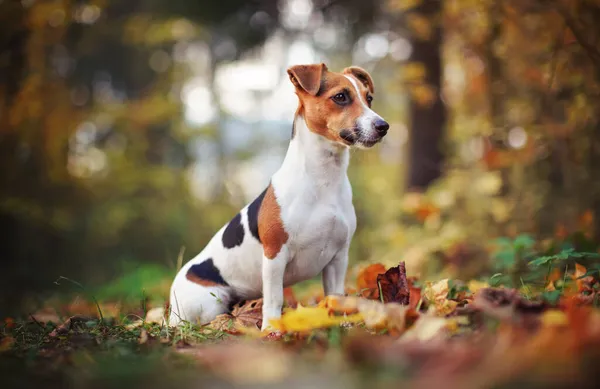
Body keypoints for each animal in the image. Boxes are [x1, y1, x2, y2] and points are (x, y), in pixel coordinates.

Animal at [169, 62, 390, 328]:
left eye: (369, 99)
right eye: (340, 97)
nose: (383, 126)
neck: (324, 179)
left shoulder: (338, 258)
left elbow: (336, 297)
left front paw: (343, 324)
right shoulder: (275, 255)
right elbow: (274, 300)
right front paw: (271, 330)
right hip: (208, 303)